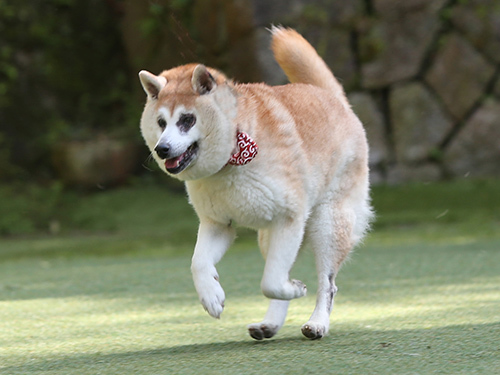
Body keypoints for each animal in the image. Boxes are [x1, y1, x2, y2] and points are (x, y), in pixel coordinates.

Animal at [139, 27, 374, 340]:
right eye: (161, 122)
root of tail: (332, 96)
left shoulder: (289, 219)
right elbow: (199, 263)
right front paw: (211, 296)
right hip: (270, 236)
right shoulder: (218, 224)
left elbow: (271, 281)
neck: (232, 156)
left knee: (327, 283)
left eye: (187, 120)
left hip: (327, 224)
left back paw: (317, 322)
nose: (162, 149)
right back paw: (270, 324)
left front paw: (296, 290)